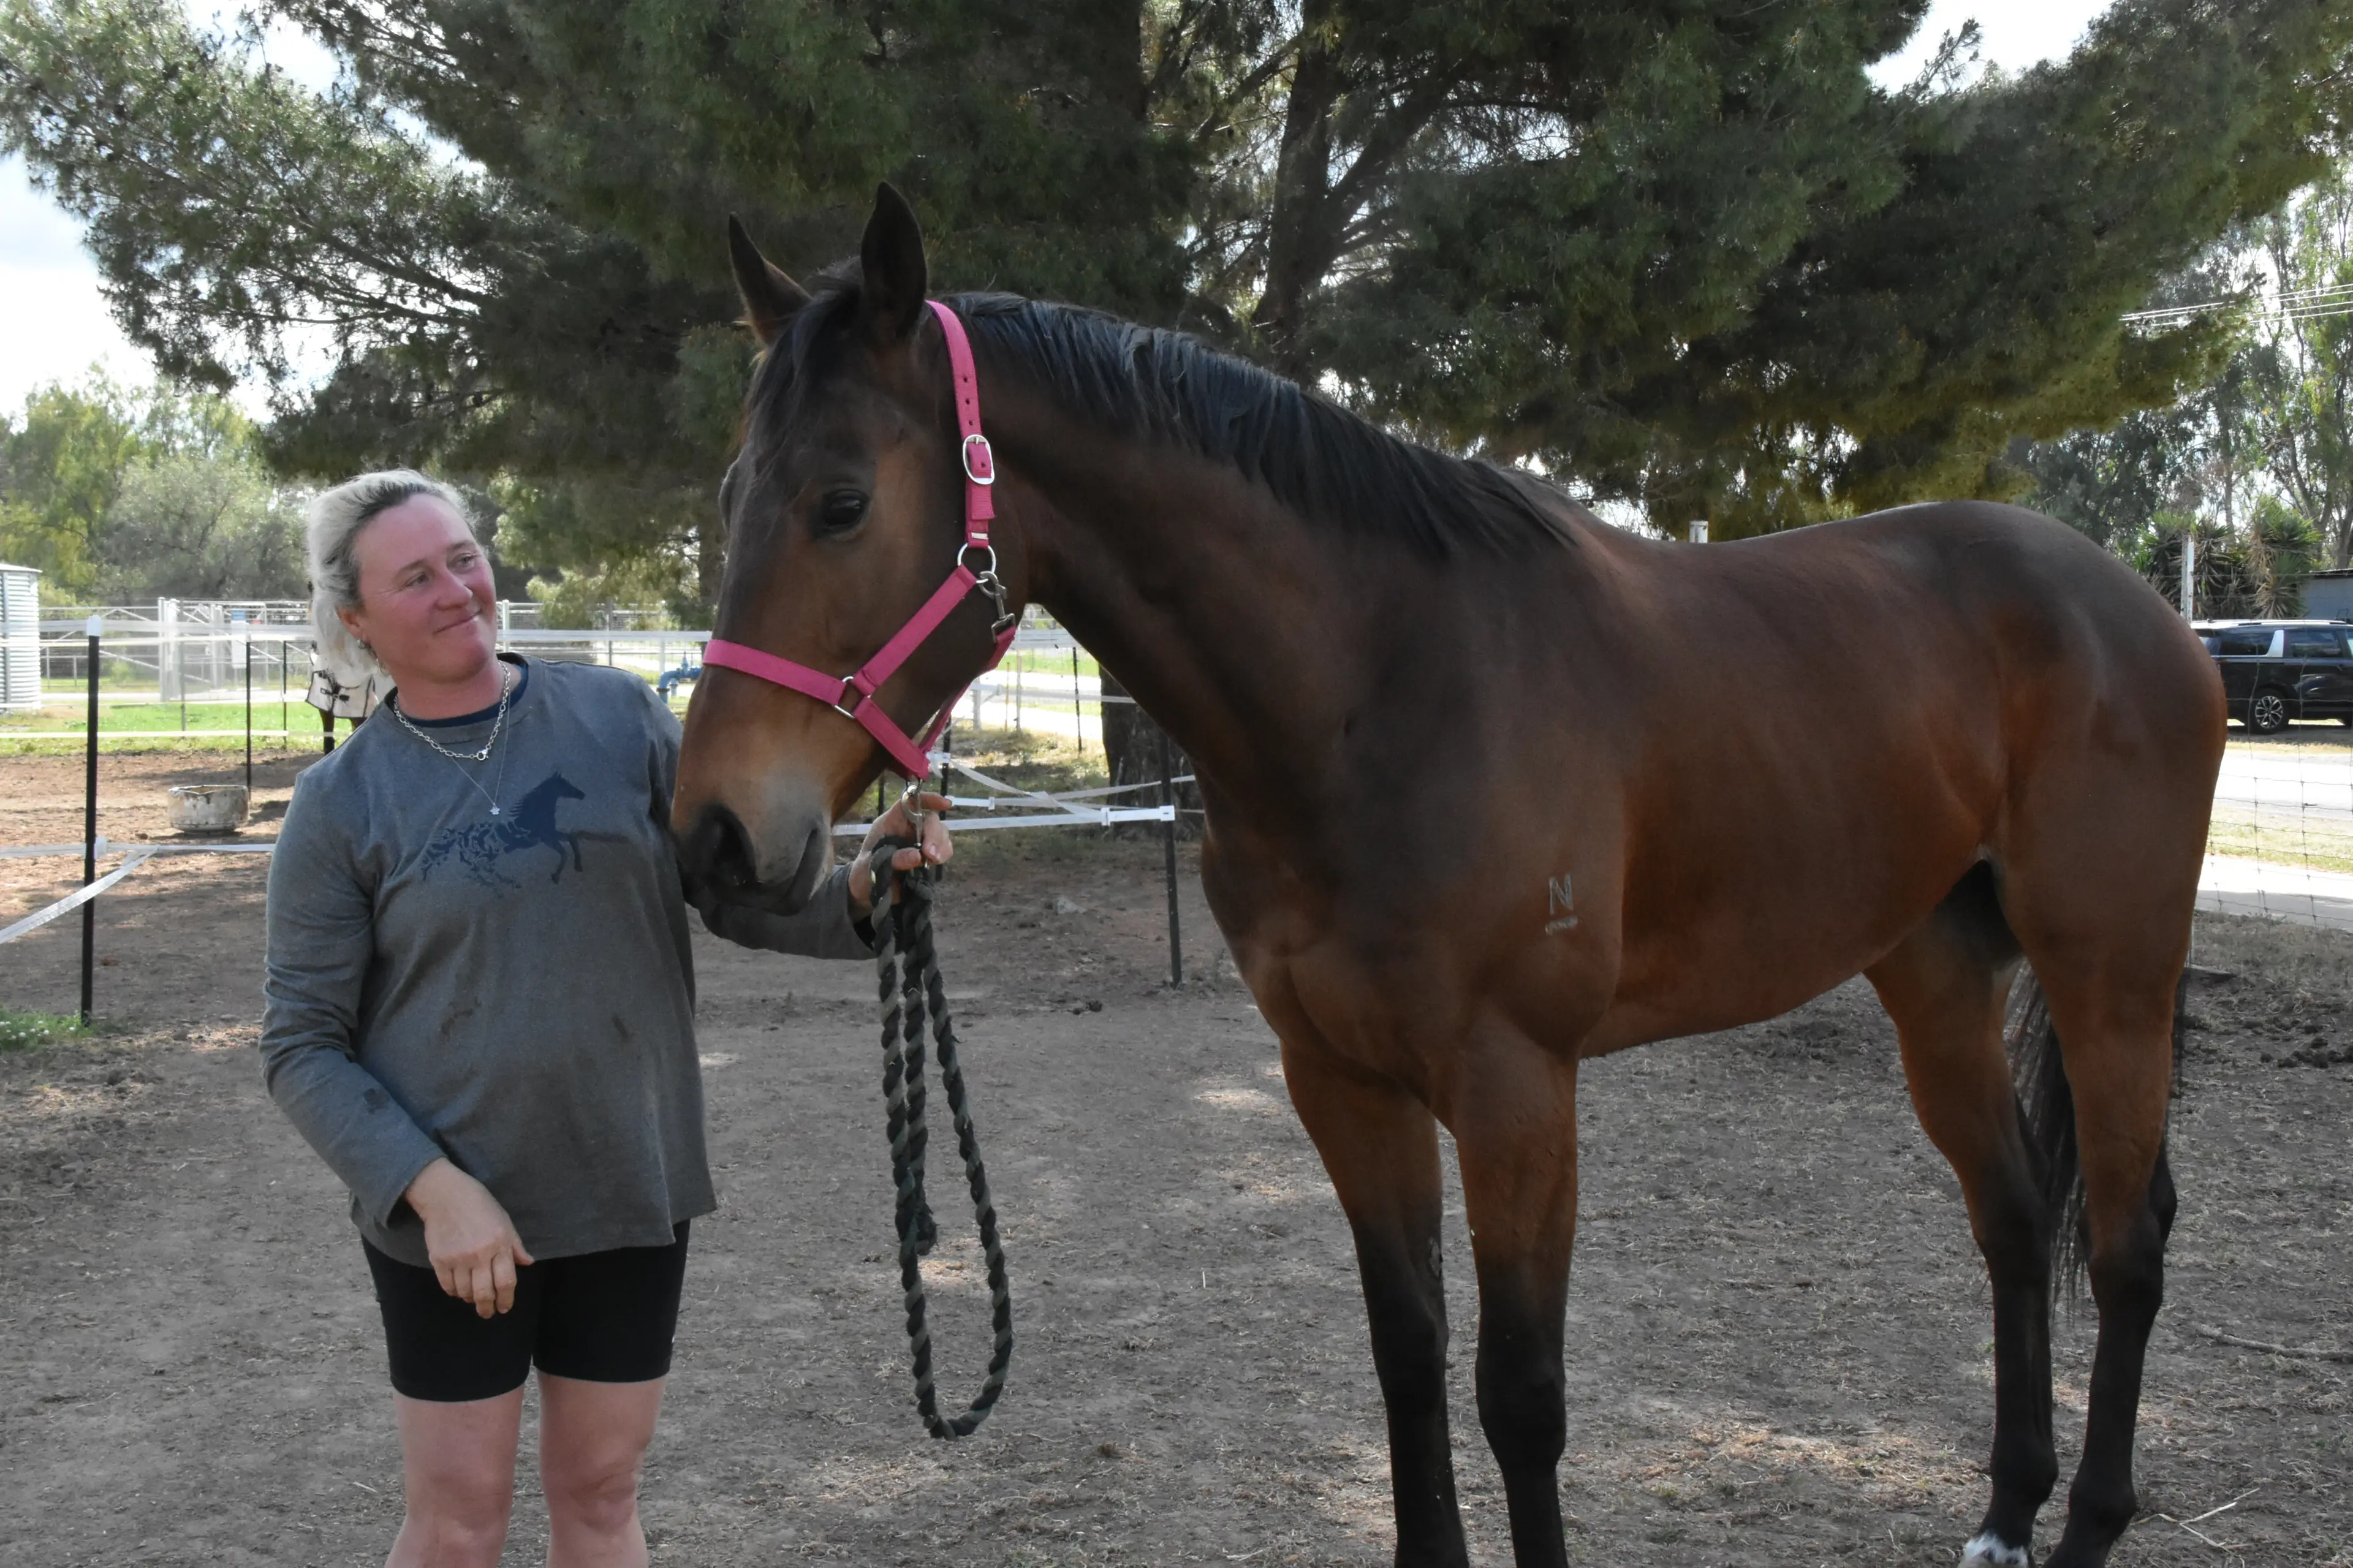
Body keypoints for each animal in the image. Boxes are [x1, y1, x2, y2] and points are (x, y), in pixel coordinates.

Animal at [671, 185, 2225, 1568]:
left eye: (841, 500)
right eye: (735, 491)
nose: (714, 836)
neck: (1381, 687)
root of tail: (2140, 606)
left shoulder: (1513, 1082)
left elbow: (1518, 1398)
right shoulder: (1340, 1079)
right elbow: (1408, 1359)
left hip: (2108, 976)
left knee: (2129, 1241)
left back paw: (2088, 1522)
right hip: (1934, 974)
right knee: (2012, 1218)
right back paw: (2005, 1511)